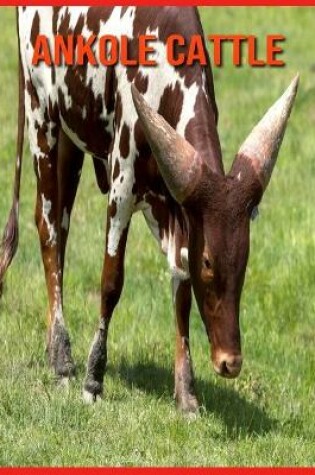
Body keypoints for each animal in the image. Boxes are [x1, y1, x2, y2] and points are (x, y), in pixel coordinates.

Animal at [0, 5, 298, 412]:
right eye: (209, 262)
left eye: (245, 258)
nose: (230, 362)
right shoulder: (122, 185)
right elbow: (111, 281)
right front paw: (93, 379)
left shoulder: (179, 204)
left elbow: (181, 285)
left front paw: (187, 392)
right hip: (40, 113)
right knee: (47, 228)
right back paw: (62, 359)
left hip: (71, 134)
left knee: (59, 226)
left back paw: (54, 348)